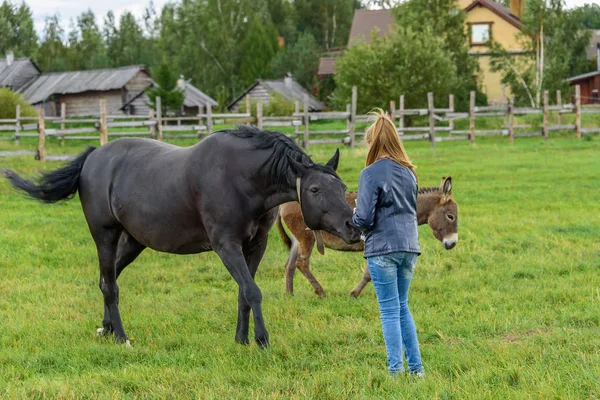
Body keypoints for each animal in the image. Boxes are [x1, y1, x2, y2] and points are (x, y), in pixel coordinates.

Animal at [3, 126, 360, 348]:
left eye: (342, 186)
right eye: (315, 189)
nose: (353, 225)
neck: (243, 178)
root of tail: (92, 157)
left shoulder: (255, 246)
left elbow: (244, 293)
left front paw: (241, 339)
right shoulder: (226, 246)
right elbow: (253, 291)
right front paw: (261, 340)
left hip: (133, 241)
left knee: (107, 280)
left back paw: (106, 328)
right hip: (105, 236)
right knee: (111, 285)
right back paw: (121, 336)